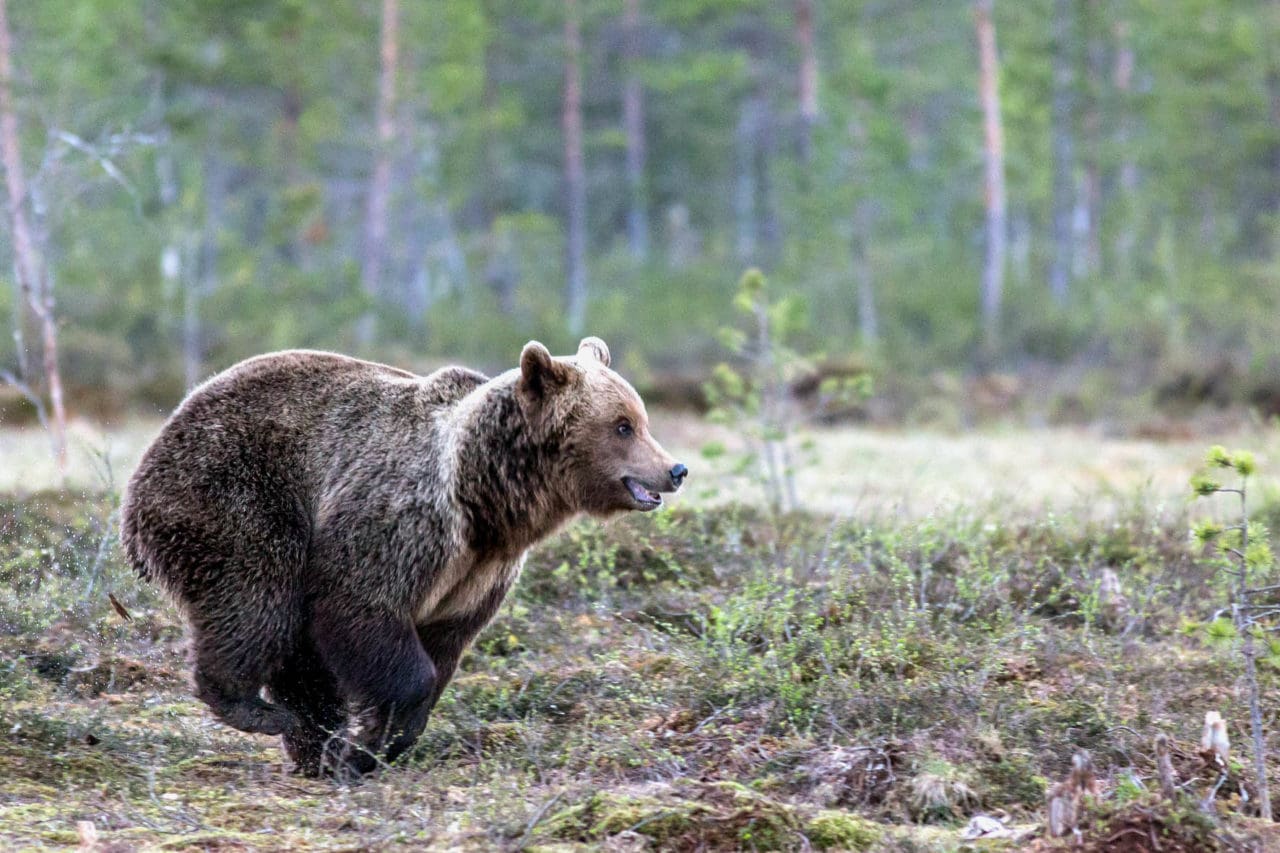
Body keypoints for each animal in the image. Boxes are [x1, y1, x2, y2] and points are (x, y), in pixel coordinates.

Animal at [120, 335, 686, 773]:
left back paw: (311, 743)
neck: (486, 501)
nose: (675, 469)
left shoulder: (477, 572)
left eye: (640, 418)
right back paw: (254, 708)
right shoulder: (404, 522)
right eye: (622, 425)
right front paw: (365, 746)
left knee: (294, 648)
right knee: (256, 599)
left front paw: (372, 746)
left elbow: (442, 648)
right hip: (237, 496)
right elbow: (365, 610)